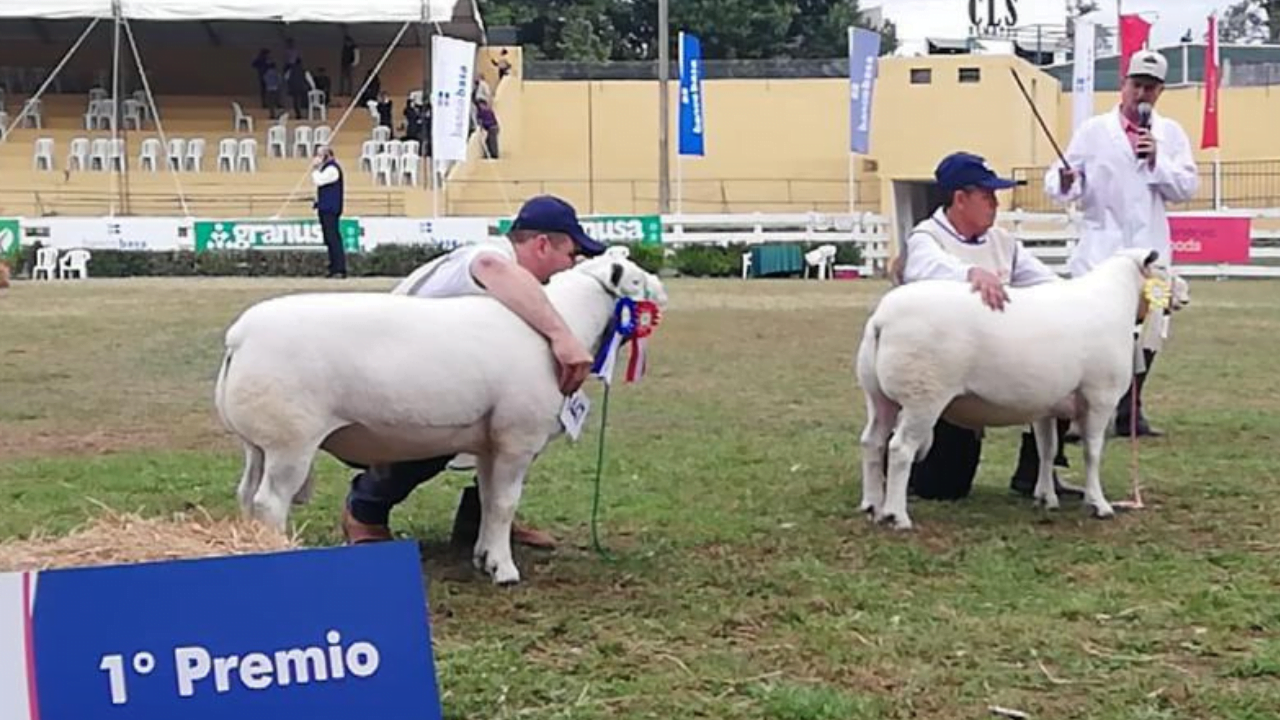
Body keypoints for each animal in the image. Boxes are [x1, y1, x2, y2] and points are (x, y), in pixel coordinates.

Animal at [213, 252, 665, 584]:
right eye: (636, 282)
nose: (662, 293)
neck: (563, 324)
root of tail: (239, 336)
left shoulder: (490, 443)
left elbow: (487, 499)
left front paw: (484, 556)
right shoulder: (518, 437)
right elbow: (505, 503)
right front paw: (505, 570)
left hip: (258, 441)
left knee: (246, 494)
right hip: (290, 439)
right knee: (270, 501)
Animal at [855, 245, 1172, 527]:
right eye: (1163, 267)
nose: (1178, 296)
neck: (1114, 299)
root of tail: (881, 320)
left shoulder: (1046, 406)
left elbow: (1047, 449)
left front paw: (1046, 499)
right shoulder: (1100, 397)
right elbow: (1092, 452)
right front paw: (1100, 505)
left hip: (878, 396)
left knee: (872, 442)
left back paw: (872, 506)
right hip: (923, 395)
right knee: (900, 449)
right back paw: (897, 516)